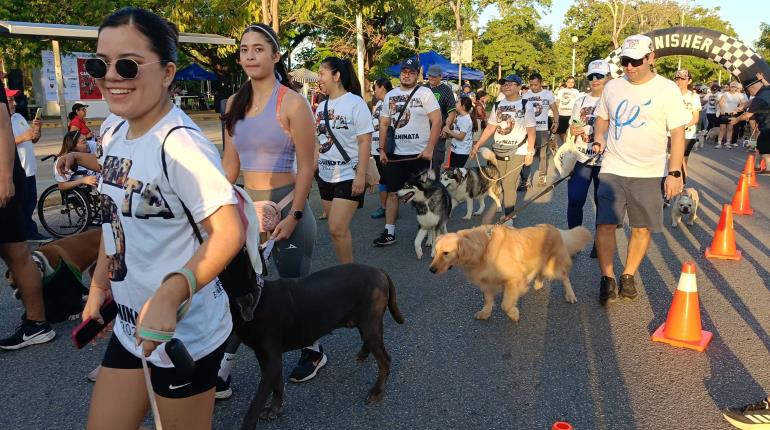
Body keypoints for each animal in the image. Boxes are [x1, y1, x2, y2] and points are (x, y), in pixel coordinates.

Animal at [219, 258, 404, 430]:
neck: (257, 304)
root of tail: (379, 271)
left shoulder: (270, 361)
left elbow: (256, 403)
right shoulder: (269, 360)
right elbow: (277, 386)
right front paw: (275, 409)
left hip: (369, 324)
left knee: (385, 361)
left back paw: (377, 391)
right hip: (366, 325)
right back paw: (364, 353)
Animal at [426, 223, 588, 320]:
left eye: (446, 253)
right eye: (436, 251)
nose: (431, 270)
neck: (484, 248)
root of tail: (554, 228)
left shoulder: (513, 279)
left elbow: (506, 304)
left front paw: (514, 314)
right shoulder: (488, 280)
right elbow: (488, 299)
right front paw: (485, 312)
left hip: (553, 267)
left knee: (565, 277)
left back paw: (570, 295)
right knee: (541, 272)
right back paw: (538, 283)